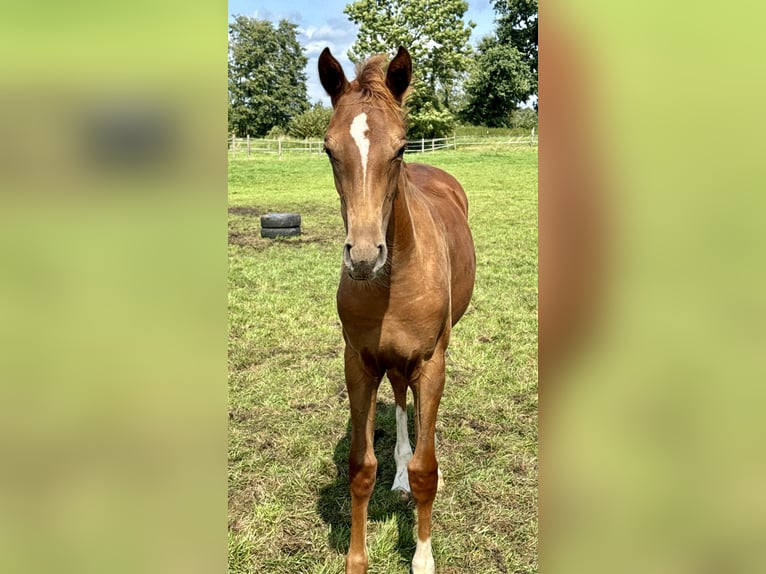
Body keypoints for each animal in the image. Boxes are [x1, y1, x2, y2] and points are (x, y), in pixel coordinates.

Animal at [316, 46, 474, 574]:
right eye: (328, 149)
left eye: (401, 149)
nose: (365, 256)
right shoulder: (360, 362)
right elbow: (361, 466)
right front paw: (356, 560)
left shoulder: (431, 360)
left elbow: (428, 467)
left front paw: (423, 558)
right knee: (402, 401)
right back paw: (400, 475)